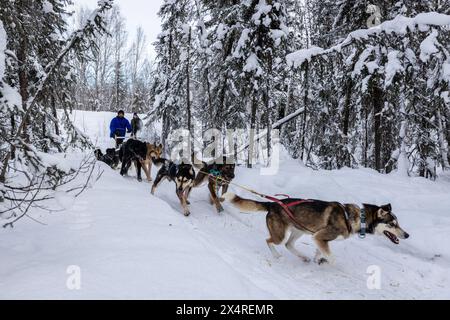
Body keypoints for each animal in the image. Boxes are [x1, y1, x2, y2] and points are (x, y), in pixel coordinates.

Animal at [223, 194, 410, 266]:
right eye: (392, 224)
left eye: (398, 223)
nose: (407, 235)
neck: (357, 218)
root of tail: (273, 204)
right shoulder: (321, 237)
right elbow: (332, 257)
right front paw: (326, 261)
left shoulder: (318, 238)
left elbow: (321, 251)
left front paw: (317, 258)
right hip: (280, 234)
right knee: (269, 241)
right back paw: (276, 256)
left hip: (299, 230)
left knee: (289, 245)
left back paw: (303, 257)